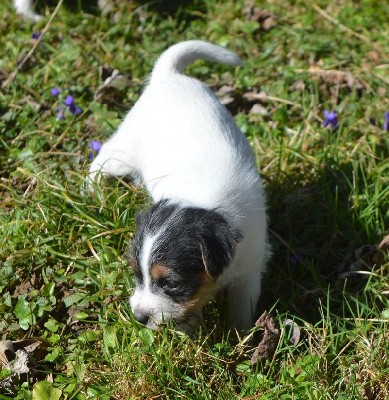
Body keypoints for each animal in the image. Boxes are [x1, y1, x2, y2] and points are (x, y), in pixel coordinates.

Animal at [87, 41, 268, 334]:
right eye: (136, 274)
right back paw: (92, 191)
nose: (138, 317)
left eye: (171, 283)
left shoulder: (249, 272)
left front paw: (241, 335)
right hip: (124, 152)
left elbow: (242, 308)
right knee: (101, 159)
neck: (201, 198)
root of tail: (168, 75)